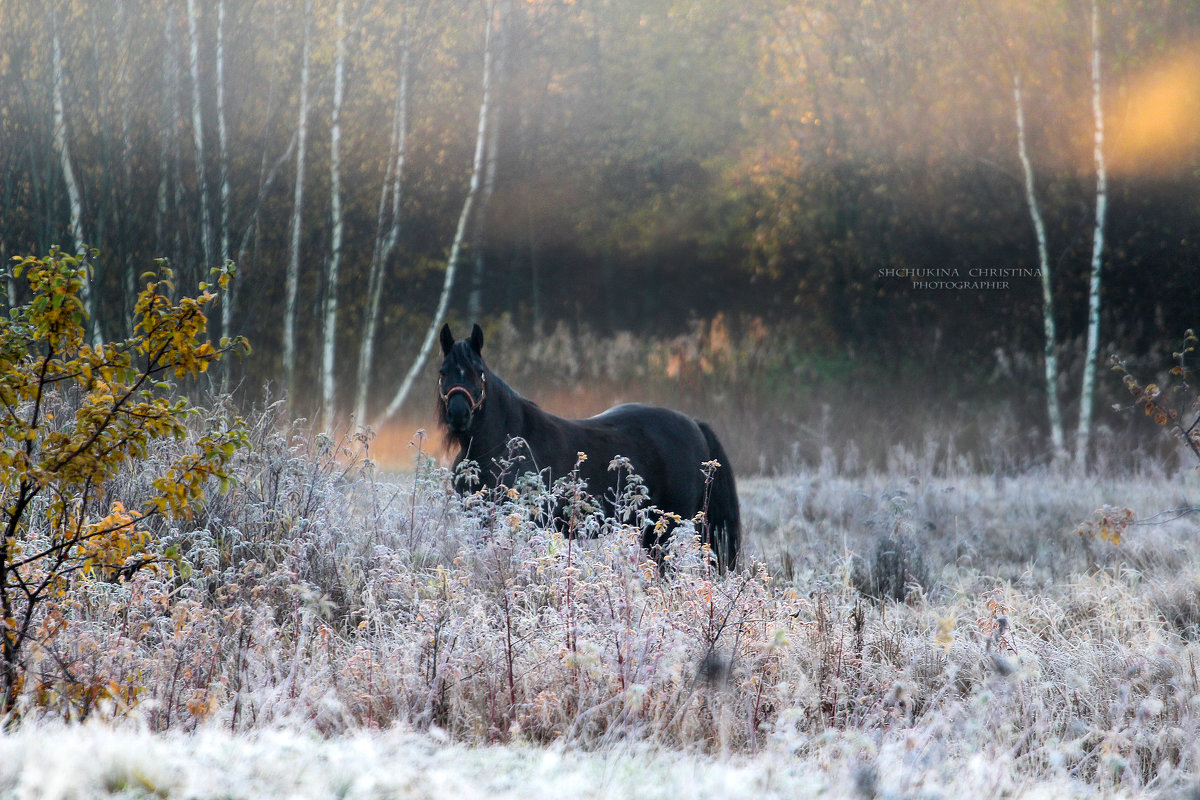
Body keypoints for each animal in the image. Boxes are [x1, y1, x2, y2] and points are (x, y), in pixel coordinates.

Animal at [441, 323, 739, 568]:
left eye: (478, 372)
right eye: (443, 372)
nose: (458, 414)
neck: (497, 447)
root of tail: (694, 424)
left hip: (665, 530)